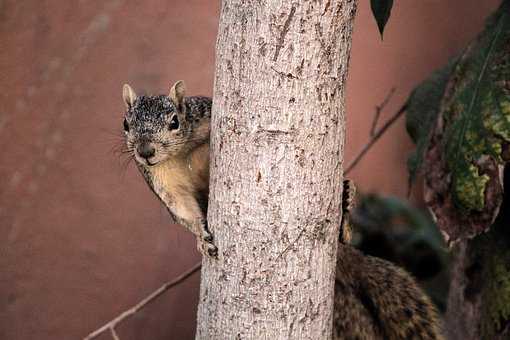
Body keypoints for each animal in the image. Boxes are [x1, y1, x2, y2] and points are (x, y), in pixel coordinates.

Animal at [122, 81, 442, 338]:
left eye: (175, 121)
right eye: (126, 124)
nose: (146, 152)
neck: (181, 153)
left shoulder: (207, 116)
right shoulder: (163, 183)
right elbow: (184, 210)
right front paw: (202, 237)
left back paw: (346, 205)